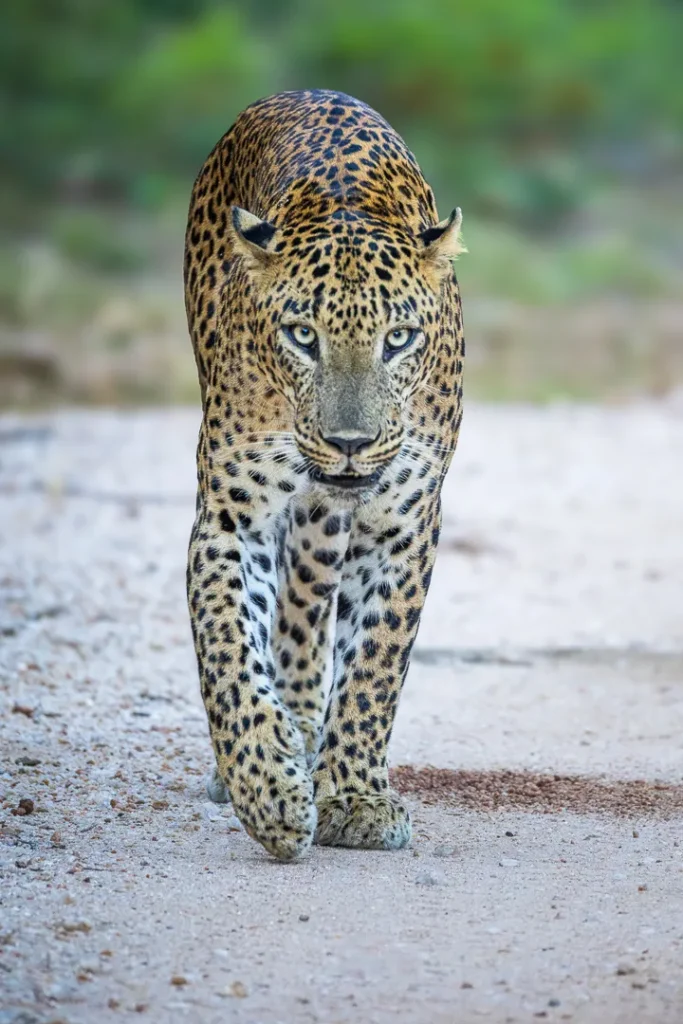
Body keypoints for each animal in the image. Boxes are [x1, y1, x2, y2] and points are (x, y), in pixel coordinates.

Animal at [183, 89, 465, 861]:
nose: (348, 443)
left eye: (397, 338)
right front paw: (266, 791)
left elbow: (374, 667)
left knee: (308, 608)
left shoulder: (405, 522)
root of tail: (305, 92)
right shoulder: (231, 516)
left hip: (326, 521)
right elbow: (226, 647)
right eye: (302, 336)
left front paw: (354, 797)